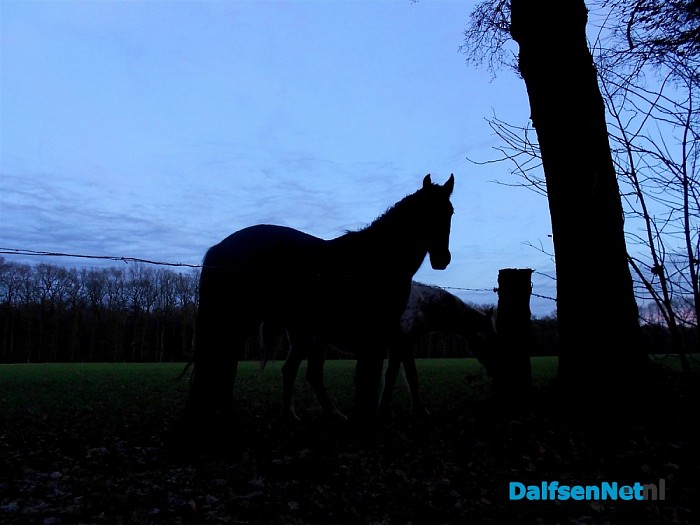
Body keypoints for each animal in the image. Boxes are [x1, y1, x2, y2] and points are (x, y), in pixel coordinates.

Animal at [179, 174, 455, 434]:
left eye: (450, 211)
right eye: (425, 210)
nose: (442, 259)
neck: (377, 259)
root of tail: (218, 248)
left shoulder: (383, 335)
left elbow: (377, 376)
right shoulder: (377, 333)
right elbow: (370, 378)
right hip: (240, 322)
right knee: (224, 366)